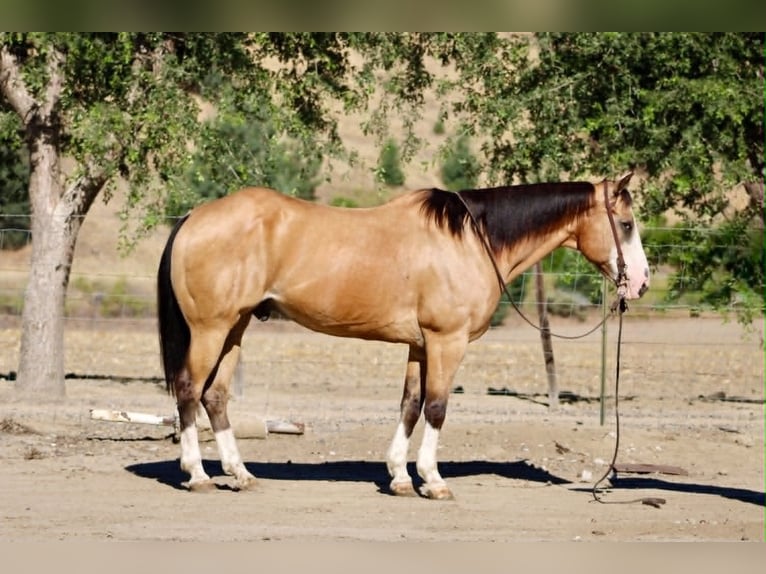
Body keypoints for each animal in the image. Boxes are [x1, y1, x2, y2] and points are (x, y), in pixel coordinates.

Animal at [157, 171, 649, 499]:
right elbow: (436, 407)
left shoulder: (419, 345)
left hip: (235, 327)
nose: (641, 283)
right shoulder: (446, 341)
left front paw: (398, 477)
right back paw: (198, 475)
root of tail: (194, 217)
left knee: (215, 396)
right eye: (626, 224)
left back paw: (240, 474)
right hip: (211, 329)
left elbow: (410, 405)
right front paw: (432, 480)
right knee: (188, 390)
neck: (471, 241)